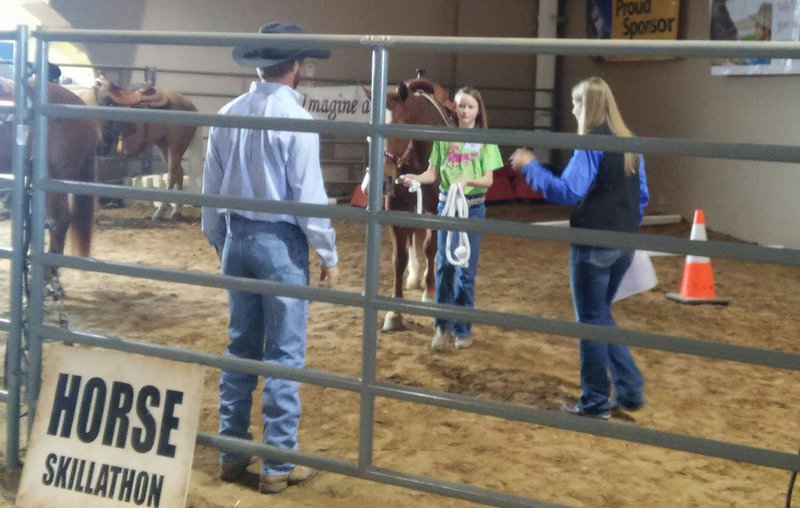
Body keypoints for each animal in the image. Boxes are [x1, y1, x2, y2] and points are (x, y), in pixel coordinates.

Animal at [380, 77, 454, 332]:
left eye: (401, 125)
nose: (384, 178)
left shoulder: (437, 209)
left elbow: (430, 248)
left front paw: (430, 294)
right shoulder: (396, 208)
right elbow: (399, 257)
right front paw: (394, 313)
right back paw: (414, 276)